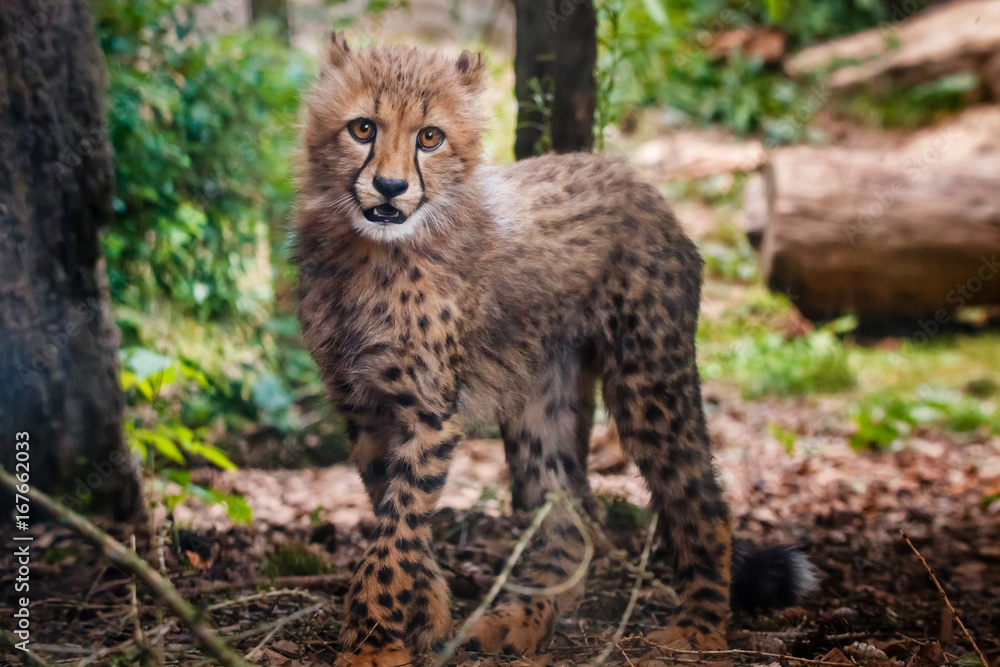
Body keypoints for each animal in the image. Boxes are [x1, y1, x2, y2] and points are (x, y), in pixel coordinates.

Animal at [293, 34, 817, 666]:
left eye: (430, 137)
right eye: (363, 128)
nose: (391, 188)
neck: (370, 251)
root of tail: (626, 173)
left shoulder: (428, 415)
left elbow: (395, 536)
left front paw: (373, 645)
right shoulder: (367, 411)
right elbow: (395, 519)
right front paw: (428, 615)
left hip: (648, 381)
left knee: (702, 501)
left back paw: (699, 630)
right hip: (540, 405)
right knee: (572, 520)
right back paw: (516, 622)